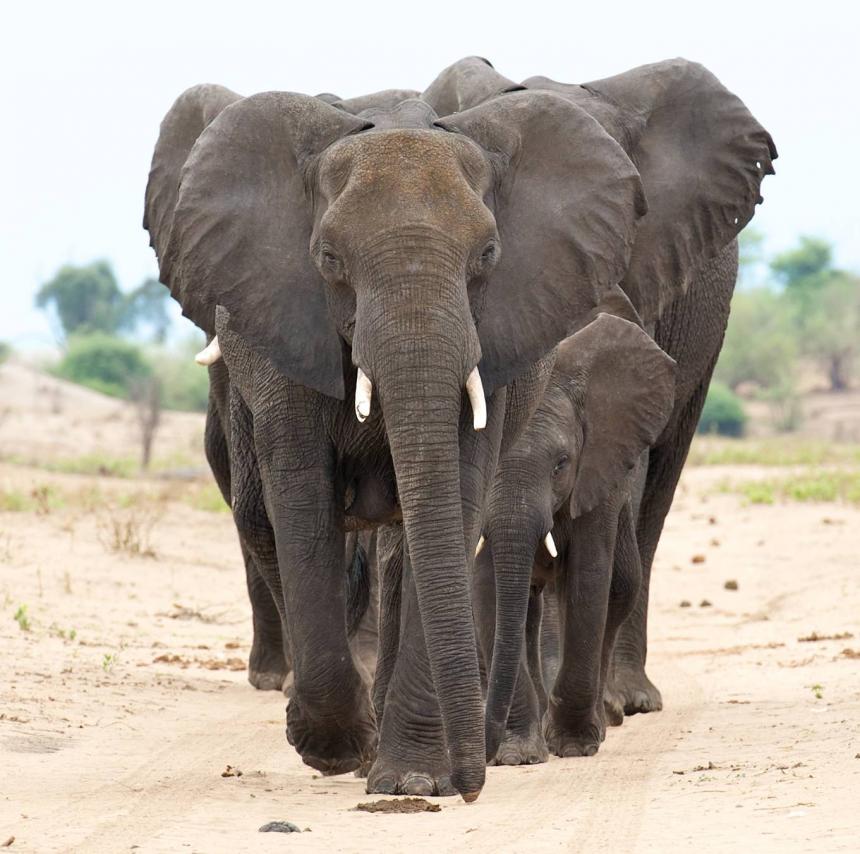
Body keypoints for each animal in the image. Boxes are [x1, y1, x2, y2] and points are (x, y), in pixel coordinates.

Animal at [144, 67, 648, 804]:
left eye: (488, 255)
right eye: (328, 257)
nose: (474, 785)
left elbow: (452, 495)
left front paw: (411, 778)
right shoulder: (288, 327)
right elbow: (301, 497)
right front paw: (334, 750)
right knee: (266, 522)